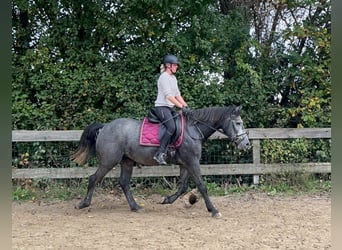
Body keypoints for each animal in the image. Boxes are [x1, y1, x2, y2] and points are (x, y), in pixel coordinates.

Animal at [71, 104, 250, 218]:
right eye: (238, 123)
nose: (246, 144)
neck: (193, 130)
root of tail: (105, 127)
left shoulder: (185, 164)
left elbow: (183, 187)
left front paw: (167, 200)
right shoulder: (192, 162)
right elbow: (201, 186)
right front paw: (213, 210)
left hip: (127, 161)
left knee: (124, 183)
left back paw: (136, 207)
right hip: (109, 160)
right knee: (94, 178)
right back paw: (83, 204)